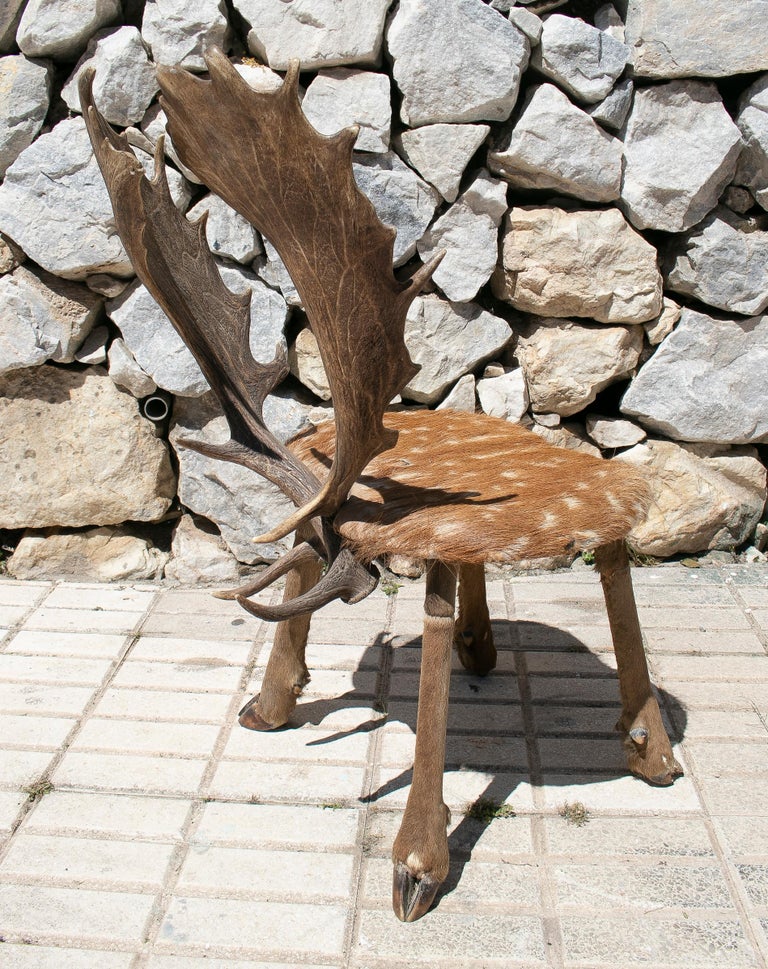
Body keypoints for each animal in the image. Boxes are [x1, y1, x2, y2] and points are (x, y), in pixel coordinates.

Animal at [80, 48, 682, 923]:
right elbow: (326, 575)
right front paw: (270, 709)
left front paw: (416, 870)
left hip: (595, 519)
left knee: (605, 572)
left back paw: (651, 754)